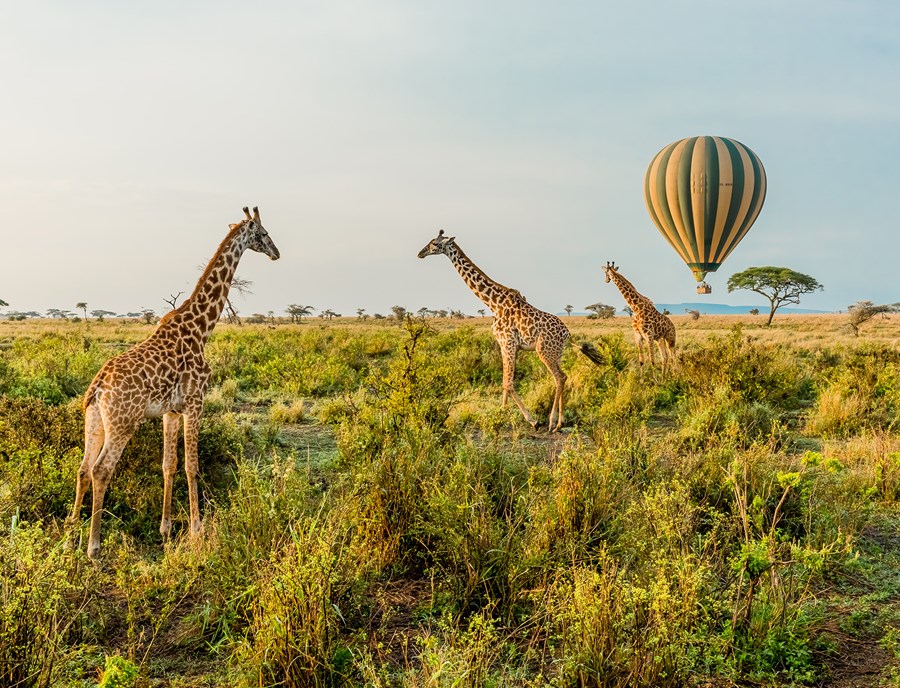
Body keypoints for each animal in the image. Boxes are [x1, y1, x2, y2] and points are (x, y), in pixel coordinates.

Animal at [68, 207, 280, 558]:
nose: (277, 253)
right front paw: (197, 530)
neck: (201, 328)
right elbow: (192, 466)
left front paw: (166, 529)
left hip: (94, 420)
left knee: (83, 468)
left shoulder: (170, 410)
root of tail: (97, 388)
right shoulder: (196, 402)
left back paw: (72, 527)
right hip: (123, 423)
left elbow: (169, 465)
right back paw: (94, 547)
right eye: (263, 233)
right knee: (101, 470)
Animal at [418, 230, 603, 431]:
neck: (493, 303)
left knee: (560, 377)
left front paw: (531, 420)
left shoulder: (508, 342)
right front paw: (501, 413)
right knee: (562, 377)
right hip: (556, 353)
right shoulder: (504, 344)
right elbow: (504, 382)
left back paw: (552, 422)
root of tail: (567, 334)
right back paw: (560, 422)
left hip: (544, 350)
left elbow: (509, 383)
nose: (420, 253)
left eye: (435, 244)